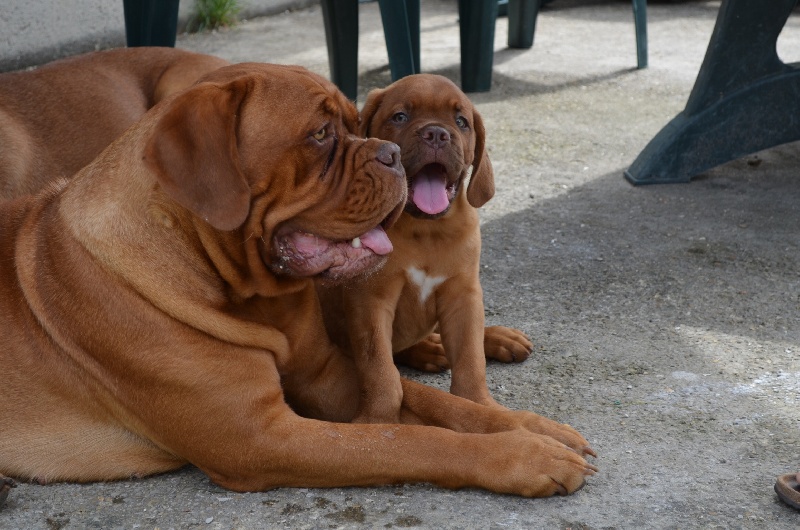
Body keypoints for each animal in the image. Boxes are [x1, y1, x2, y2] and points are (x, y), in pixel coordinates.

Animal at [318, 74, 532, 420]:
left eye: (461, 122)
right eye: (400, 116)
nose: (436, 133)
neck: (426, 229)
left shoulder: (463, 294)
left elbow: (471, 358)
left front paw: (480, 405)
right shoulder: (370, 300)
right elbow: (380, 369)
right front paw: (377, 418)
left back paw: (494, 336)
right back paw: (432, 349)